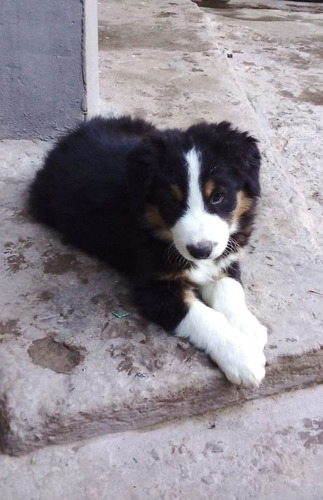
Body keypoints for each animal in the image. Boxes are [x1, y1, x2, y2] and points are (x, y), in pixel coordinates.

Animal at [29, 116, 268, 386]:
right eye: (172, 201)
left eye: (218, 196)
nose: (201, 250)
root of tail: (71, 136)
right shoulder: (155, 289)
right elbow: (205, 318)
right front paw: (242, 357)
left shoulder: (224, 258)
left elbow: (230, 290)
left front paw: (248, 328)